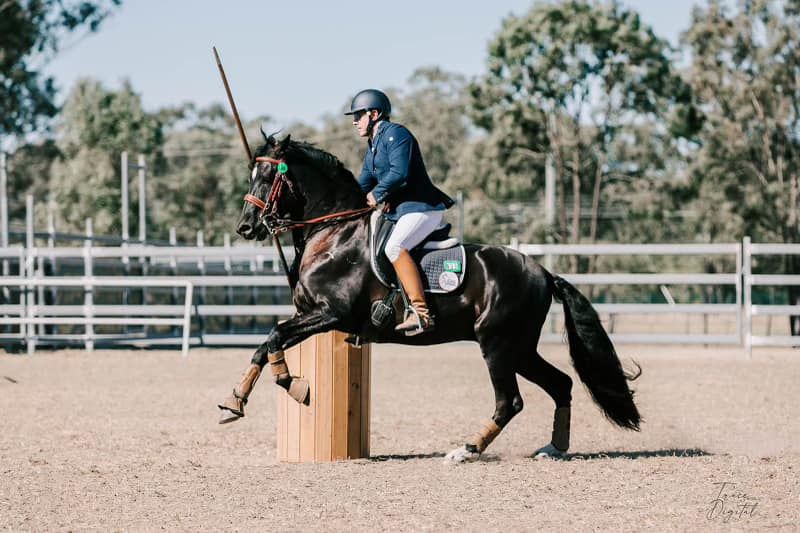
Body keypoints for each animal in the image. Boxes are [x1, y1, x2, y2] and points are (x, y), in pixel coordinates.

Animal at [216, 133, 640, 462]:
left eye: (268, 176)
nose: (246, 227)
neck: (334, 232)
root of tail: (544, 274)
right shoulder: (309, 314)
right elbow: (267, 344)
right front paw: (235, 401)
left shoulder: (330, 314)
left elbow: (273, 337)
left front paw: (292, 384)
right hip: (519, 348)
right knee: (561, 384)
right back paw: (553, 448)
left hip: (497, 344)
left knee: (510, 401)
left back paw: (466, 451)